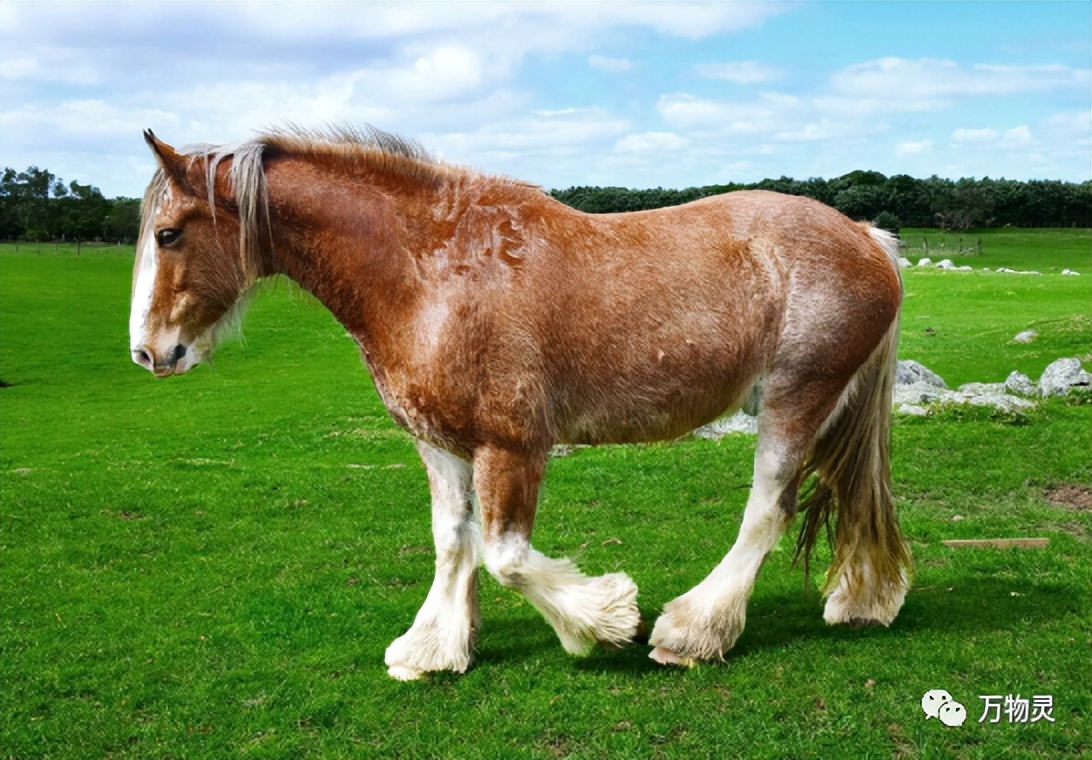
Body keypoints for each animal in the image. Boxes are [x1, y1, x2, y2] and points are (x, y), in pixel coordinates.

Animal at [127, 127, 912, 681]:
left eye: (169, 234)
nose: (147, 353)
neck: (429, 273)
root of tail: (866, 237)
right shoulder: (440, 444)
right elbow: (453, 541)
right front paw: (435, 648)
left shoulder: (511, 445)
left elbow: (506, 557)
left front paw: (605, 620)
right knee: (849, 495)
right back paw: (862, 601)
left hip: (794, 398)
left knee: (767, 511)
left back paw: (691, 632)